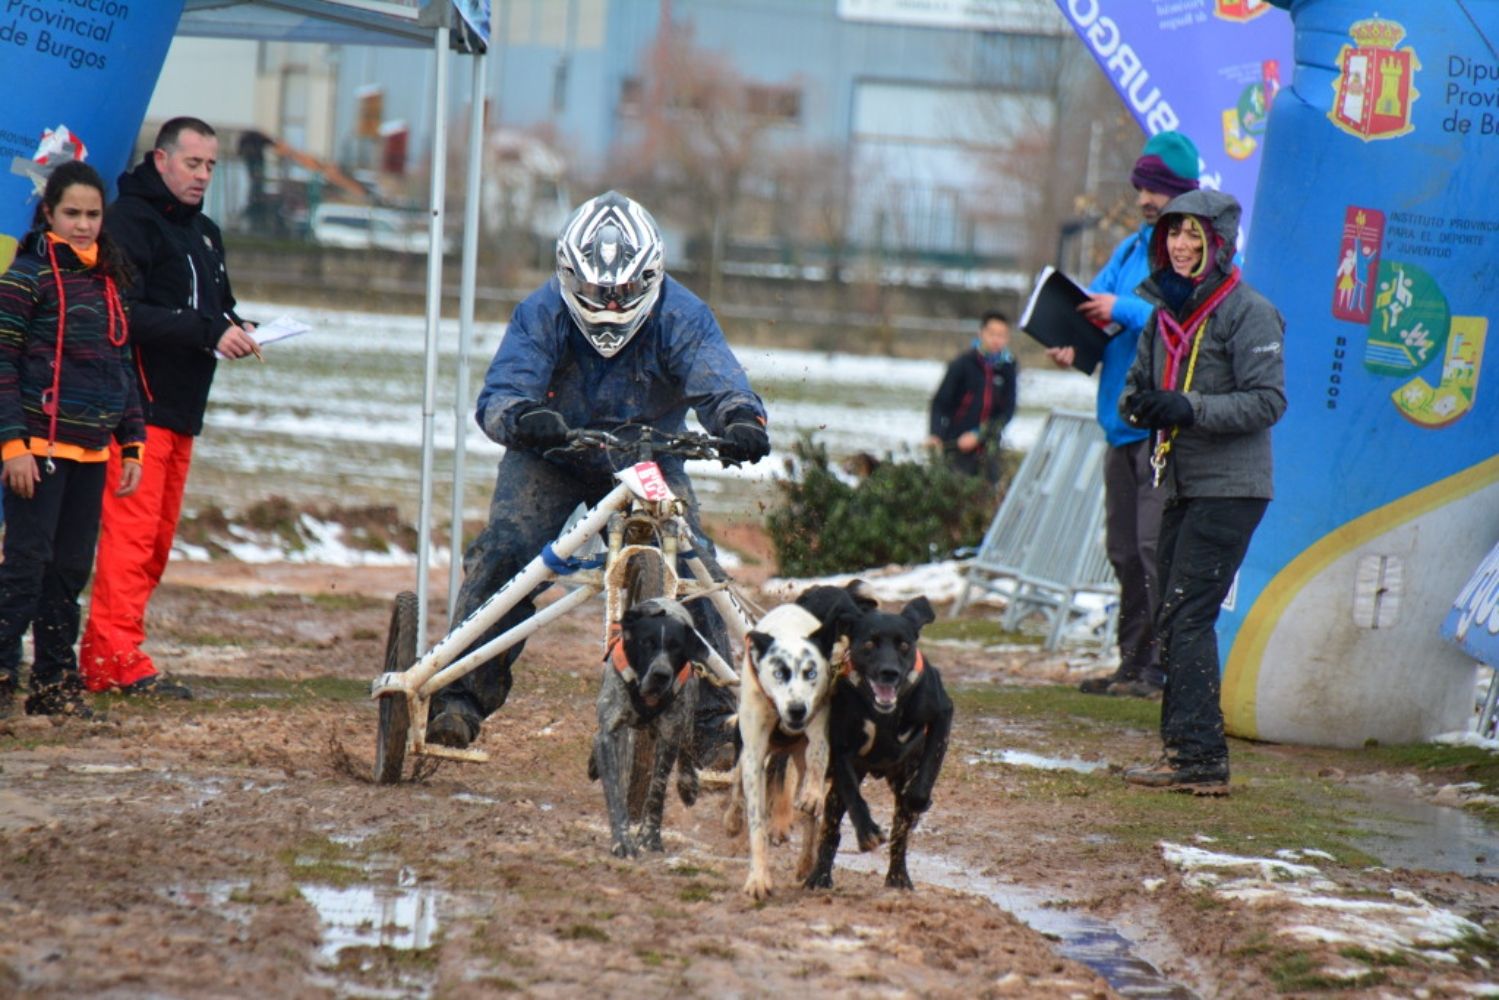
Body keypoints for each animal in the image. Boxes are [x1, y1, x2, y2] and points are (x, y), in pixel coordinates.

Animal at [584, 599, 707, 857]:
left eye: (676, 647)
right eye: (646, 643)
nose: (661, 674)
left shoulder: (669, 735)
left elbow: (656, 793)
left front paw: (650, 838)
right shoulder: (609, 733)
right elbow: (615, 792)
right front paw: (622, 841)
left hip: (687, 710)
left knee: (687, 744)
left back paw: (688, 784)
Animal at [728, 581, 869, 905]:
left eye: (811, 672)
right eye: (779, 673)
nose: (796, 710)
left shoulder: (819, 724)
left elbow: (817, 762)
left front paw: (812, 797)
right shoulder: (755, 749)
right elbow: (756, 817)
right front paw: (758, 878)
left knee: (810, 812)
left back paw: (806, 860)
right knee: (740, 781)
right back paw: (734, 818)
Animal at [809, 593, 947, 893]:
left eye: (904, 645)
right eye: (870, 643)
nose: (889, 672)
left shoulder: (942, 715)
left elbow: (925, 776)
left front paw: (918, 801)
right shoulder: (841, 748)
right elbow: (853, 795)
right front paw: (867, 831)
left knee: (899, 834)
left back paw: (898, 877)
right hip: (839, 792)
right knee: (831, 830)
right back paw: (819, 876)